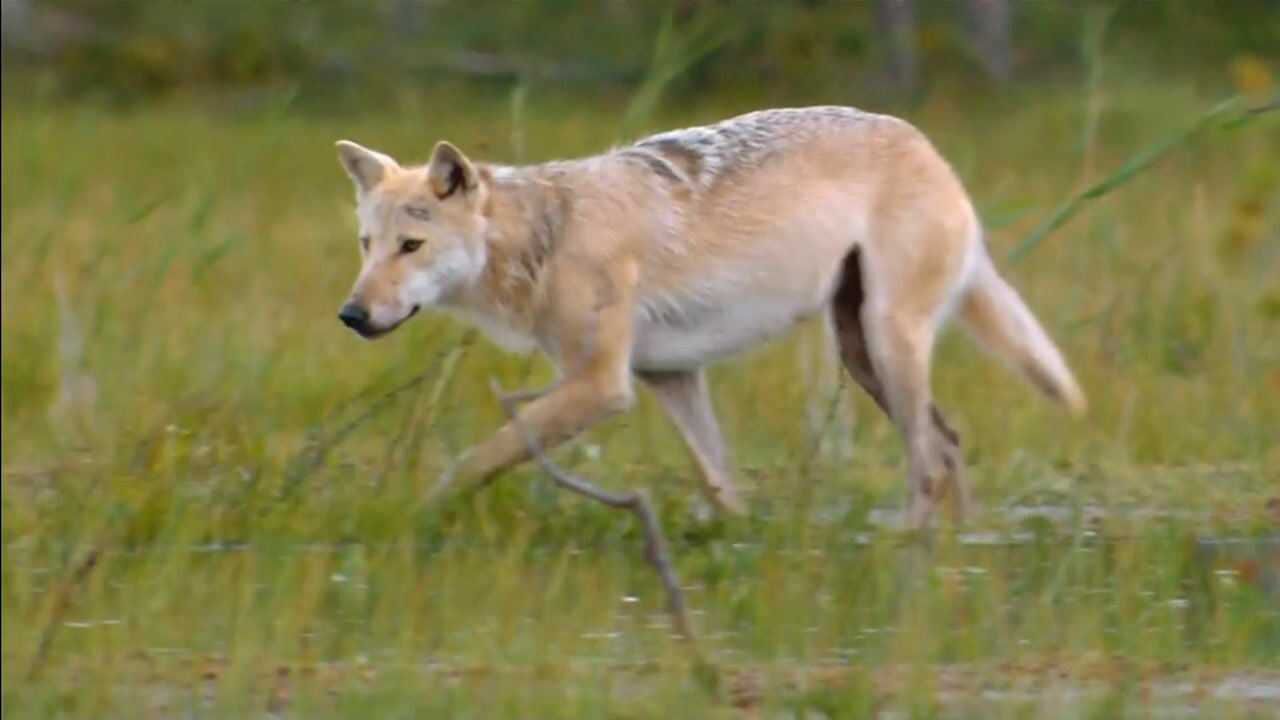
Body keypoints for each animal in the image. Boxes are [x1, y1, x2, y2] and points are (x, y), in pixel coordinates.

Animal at [335, 103, 1085, 525]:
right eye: (367, 245)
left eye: (411, 246)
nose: (351, 314)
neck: (545, 238)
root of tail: (928, 146)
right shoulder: (669, 378)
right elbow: (722, 487)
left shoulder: (602, 387)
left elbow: (471, 459)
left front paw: (411, 519)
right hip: (860, 351)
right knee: (949, 443)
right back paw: (965, 550)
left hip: (886, 341)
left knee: (928, 461)